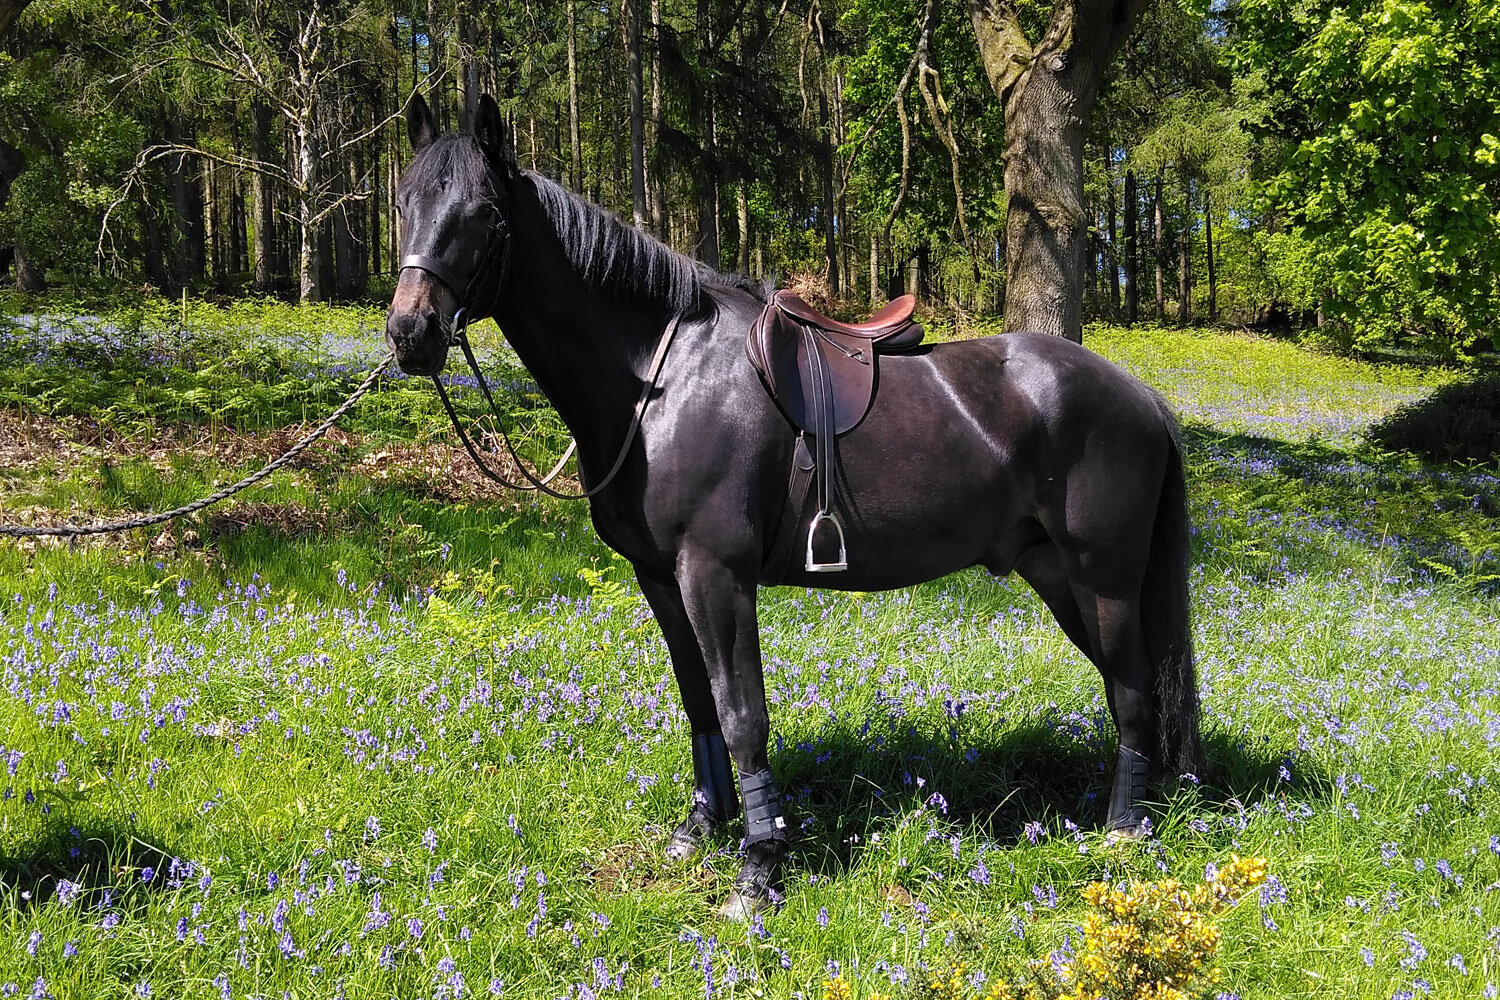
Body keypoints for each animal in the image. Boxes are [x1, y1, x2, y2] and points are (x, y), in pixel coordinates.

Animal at [390, 97, 1206, 917]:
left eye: (485, 214)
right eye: (402, 204)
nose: (409, 332)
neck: (662, 379)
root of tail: (1139, 395)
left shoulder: (715, 576)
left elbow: (743, 714)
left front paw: (759, 866)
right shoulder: (661, 580)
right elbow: (700, 704)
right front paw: (702, 828)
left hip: (1103, 580)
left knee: (1134, 689)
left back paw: (1123, 832)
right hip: (1059, 577)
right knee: (1128, 687)